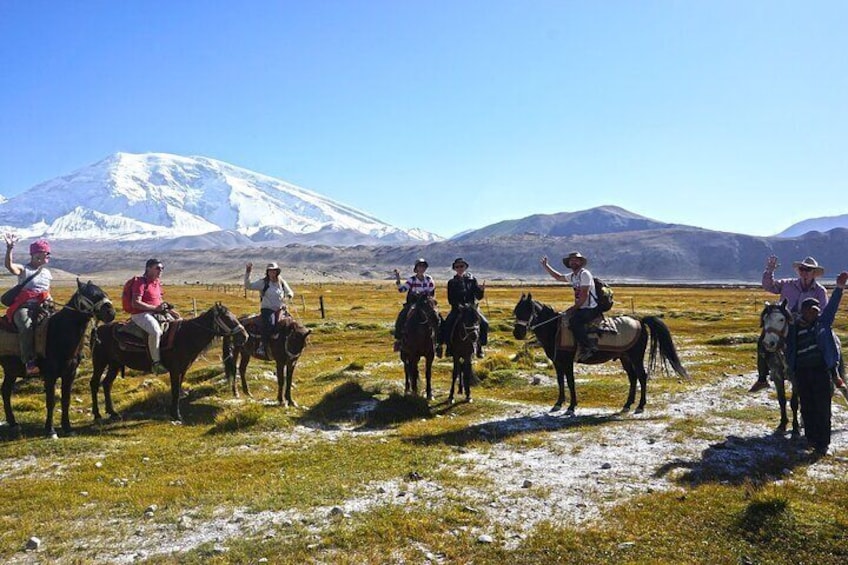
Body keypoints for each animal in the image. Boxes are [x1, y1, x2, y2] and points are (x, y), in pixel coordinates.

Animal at [1, 280, 116, 438]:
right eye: (91, 294)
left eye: (103, 292)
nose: (111, 313)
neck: (60, 332)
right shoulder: (50, 375)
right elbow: (50, 402)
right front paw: (50, 430)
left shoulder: (70, 374)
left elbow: (65, 400)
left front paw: (67, 427)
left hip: (11, 371)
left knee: (5, 391)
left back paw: (13, 423)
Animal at [90, 302, 248, 420]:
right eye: (226, 317)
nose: (245, 336)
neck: (186, 335)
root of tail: (98, 330)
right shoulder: (175, 370)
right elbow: (175, 391)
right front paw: (177, 415)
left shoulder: (182, 370)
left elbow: (177, 390)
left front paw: (174, 412)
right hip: (100, 362)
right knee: (94, 383)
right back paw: (97, 414)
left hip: (114, 364)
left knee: (106, 384)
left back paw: (112, 412)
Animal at [510, 296, 688, 414]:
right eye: (516, 311)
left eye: (528, 310)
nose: (518, 333)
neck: (555, 329)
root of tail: (640, 321)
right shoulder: (557, 362)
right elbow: (560, 382)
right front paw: (558, 404)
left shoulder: (567, 362)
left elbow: (571, 382)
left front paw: (571, 407)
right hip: (625, 358)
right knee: (633, 378)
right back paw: (627, 405)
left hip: (635, 357)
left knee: (642, 377)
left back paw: (640, 406)